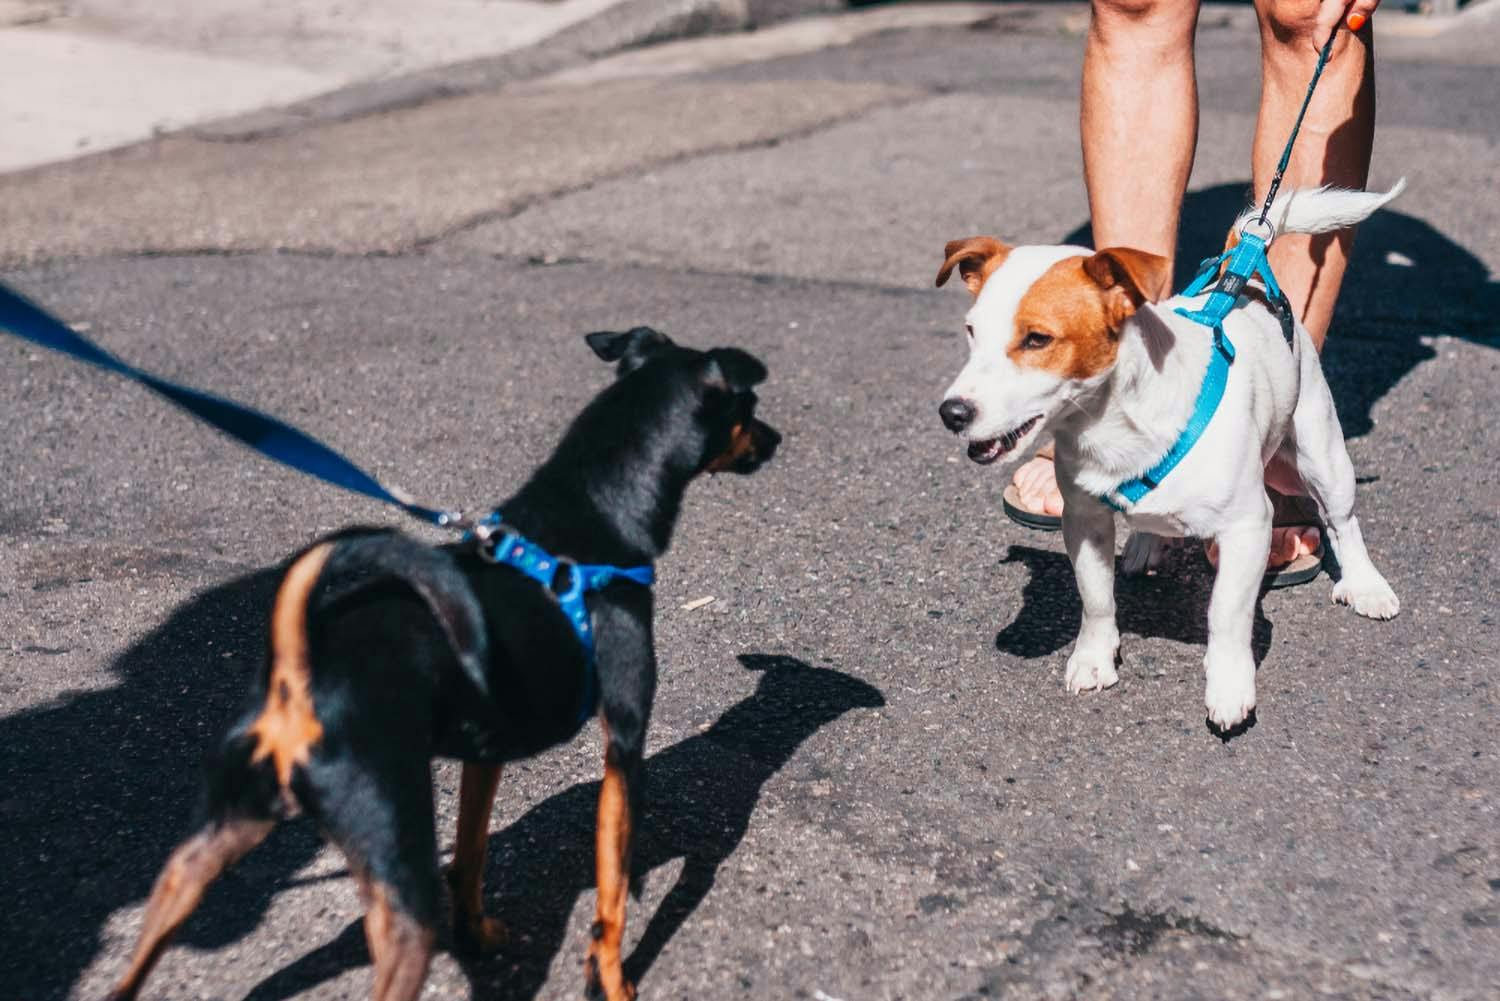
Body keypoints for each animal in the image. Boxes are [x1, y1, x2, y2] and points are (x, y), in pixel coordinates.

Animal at [104, 328, 780, 1001]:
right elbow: (611, 901)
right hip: (399, 884)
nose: (776, 439)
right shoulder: (625, 747)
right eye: (749, 407)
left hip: (214, 843)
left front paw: (476, 933)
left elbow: (472, 852)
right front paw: (612, 982)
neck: (593, 510)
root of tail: (300, 681)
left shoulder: (487, 753)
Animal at [936, 182, 1404, 729]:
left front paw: (1229, 685)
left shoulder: (1248, 527)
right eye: (971, 332)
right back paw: (1144, 544)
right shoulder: (1085, 519)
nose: (952, 412)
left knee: (1341, 521)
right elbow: (1095, 597)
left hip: (1320, 450)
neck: (1113, 426)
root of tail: (1241, 276)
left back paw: (1365, 584)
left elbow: (1226, 614)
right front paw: (1094, 658)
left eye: (1037, 339)